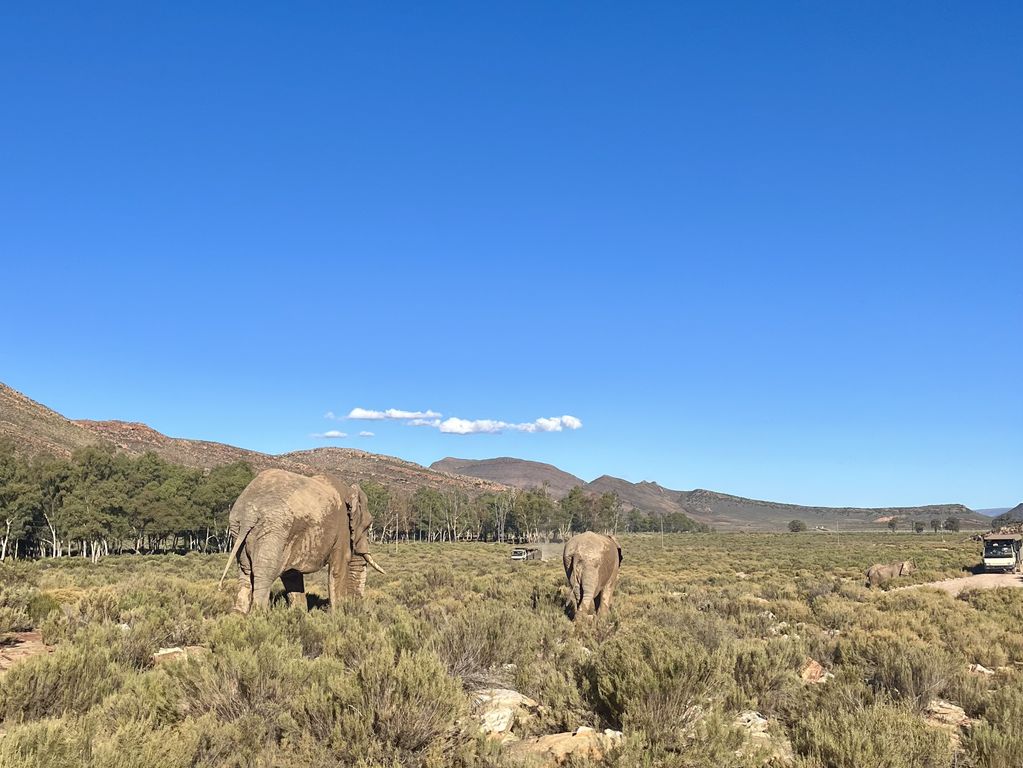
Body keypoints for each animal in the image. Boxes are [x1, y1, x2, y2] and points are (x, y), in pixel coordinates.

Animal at [218, 468, 384, 613]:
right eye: (368, 525)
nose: (357, 606)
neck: (348, 490)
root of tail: (249, 514)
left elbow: (292, 574)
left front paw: (298, 614)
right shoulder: (342, 530)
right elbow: (339, 568)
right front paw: (338, 615)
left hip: (240, 529)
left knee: (245, 572)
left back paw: (238, 615)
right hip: (274, 528)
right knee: (264, 575)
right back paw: (259, 615)